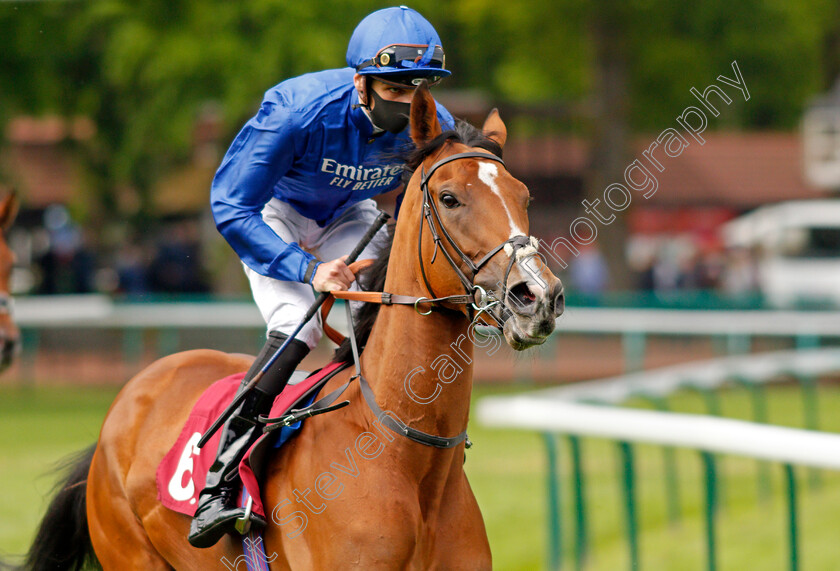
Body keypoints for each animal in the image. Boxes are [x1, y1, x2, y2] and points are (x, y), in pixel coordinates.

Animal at [21, 86, 564, 571]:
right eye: (449, 198)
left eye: (524, 195)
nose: (538, 296)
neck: (404, 456)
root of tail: (120, 411)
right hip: (130, 552)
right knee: (290, 333)